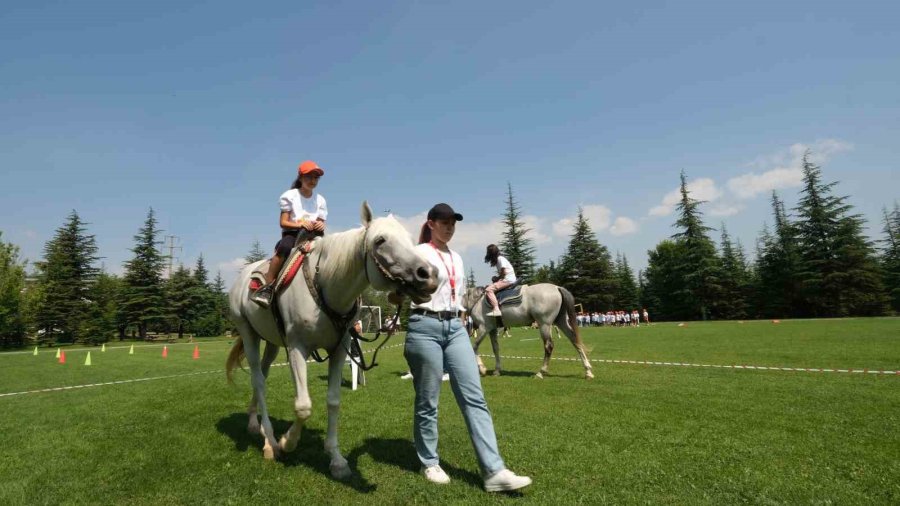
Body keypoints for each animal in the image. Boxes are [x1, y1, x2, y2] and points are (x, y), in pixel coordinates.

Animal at [225, 202, 436, 478]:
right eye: (380, 240)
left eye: (411, 240)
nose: (428, 275)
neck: (325, 284)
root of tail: (244, 276)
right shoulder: (297, 349)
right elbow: (303, 406)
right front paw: (287, 442)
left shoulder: (339, 349)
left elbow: (334, 401)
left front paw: (336, 459)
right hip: (248, 334)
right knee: (258, 381)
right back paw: (270, 442)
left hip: (271, 342)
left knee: (261, 375)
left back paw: (254, 424)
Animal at [460, 284, 596, 380]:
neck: (476, 301)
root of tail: (557, 288)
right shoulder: (492, 330)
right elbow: (496, 349)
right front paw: (497, 370)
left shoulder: (484, 328)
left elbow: (474, 347)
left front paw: (482, 369)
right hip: (561, 321)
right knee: (575, 340)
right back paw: (588, 371)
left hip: (544, 325)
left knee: (549, 346)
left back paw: (541, 372)